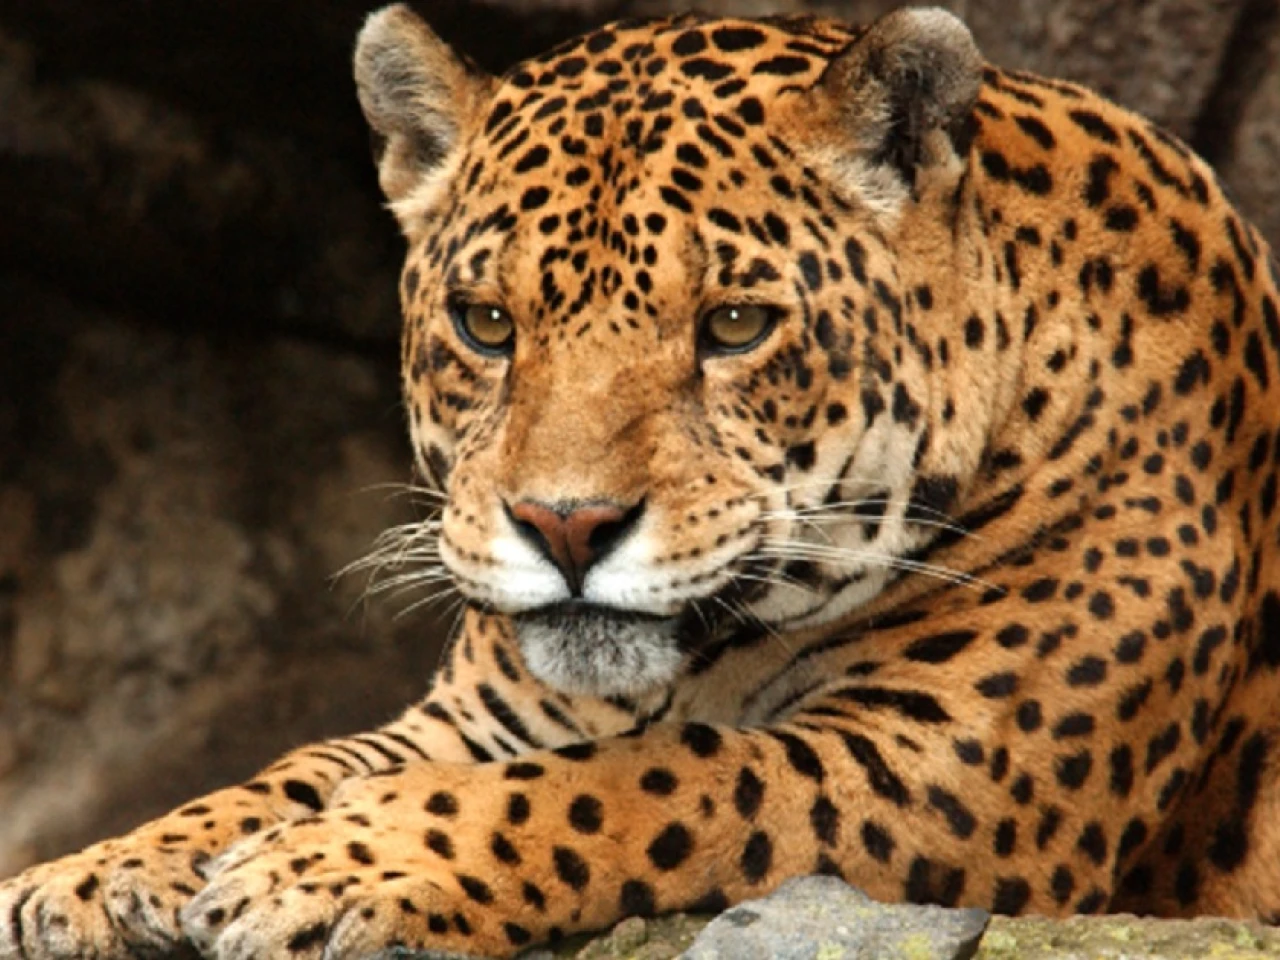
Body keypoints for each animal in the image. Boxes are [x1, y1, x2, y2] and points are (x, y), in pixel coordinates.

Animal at [3, 3, 1280, 958]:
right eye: (484, 324)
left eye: (733, 326)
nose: (565, 528)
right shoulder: (476, 713)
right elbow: (307, 763)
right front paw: (99, 869)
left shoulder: (949, 774)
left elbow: (645, 780)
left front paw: (333, 867)